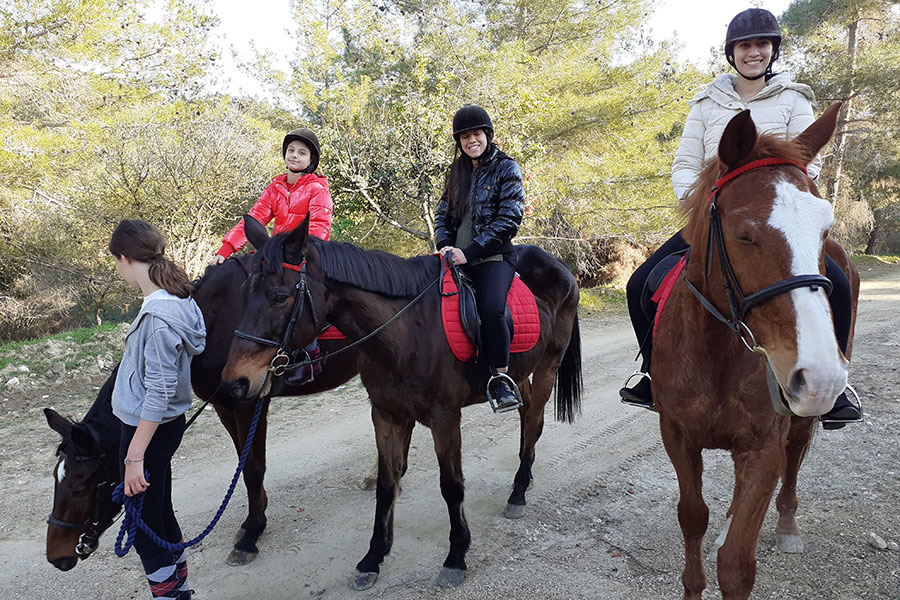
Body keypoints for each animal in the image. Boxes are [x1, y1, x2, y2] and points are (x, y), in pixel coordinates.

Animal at [44, 253, 361, 571]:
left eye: (81, 487)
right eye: (55, 479)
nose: (56, 556)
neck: (213, 323)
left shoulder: (248, 404)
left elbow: (253, 468)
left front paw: (252, 533)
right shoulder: (223, 405)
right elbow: (244, 462)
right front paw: (254, 518)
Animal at [218, 217, 583, 590]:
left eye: (279, 297)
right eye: (243, 294)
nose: (235, 381)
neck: (405, 331)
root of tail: (559, 265)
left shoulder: (445, 418)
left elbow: (452, 486)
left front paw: (456, 557)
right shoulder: (387, 415)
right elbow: (386, 484)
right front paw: (373, 559)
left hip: (548, 366)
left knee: (534, 423)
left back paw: (518, 492)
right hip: (519, 371)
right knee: (526, 414)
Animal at [651, 103, 859, 600]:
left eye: (823, 228)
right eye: (744, 235)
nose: (820, 377)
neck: (718, 352)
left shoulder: (765, 444)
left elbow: (736, 565)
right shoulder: (676, 435)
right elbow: (693, 517)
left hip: (797, 424)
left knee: (794, 459)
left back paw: (786, 526)